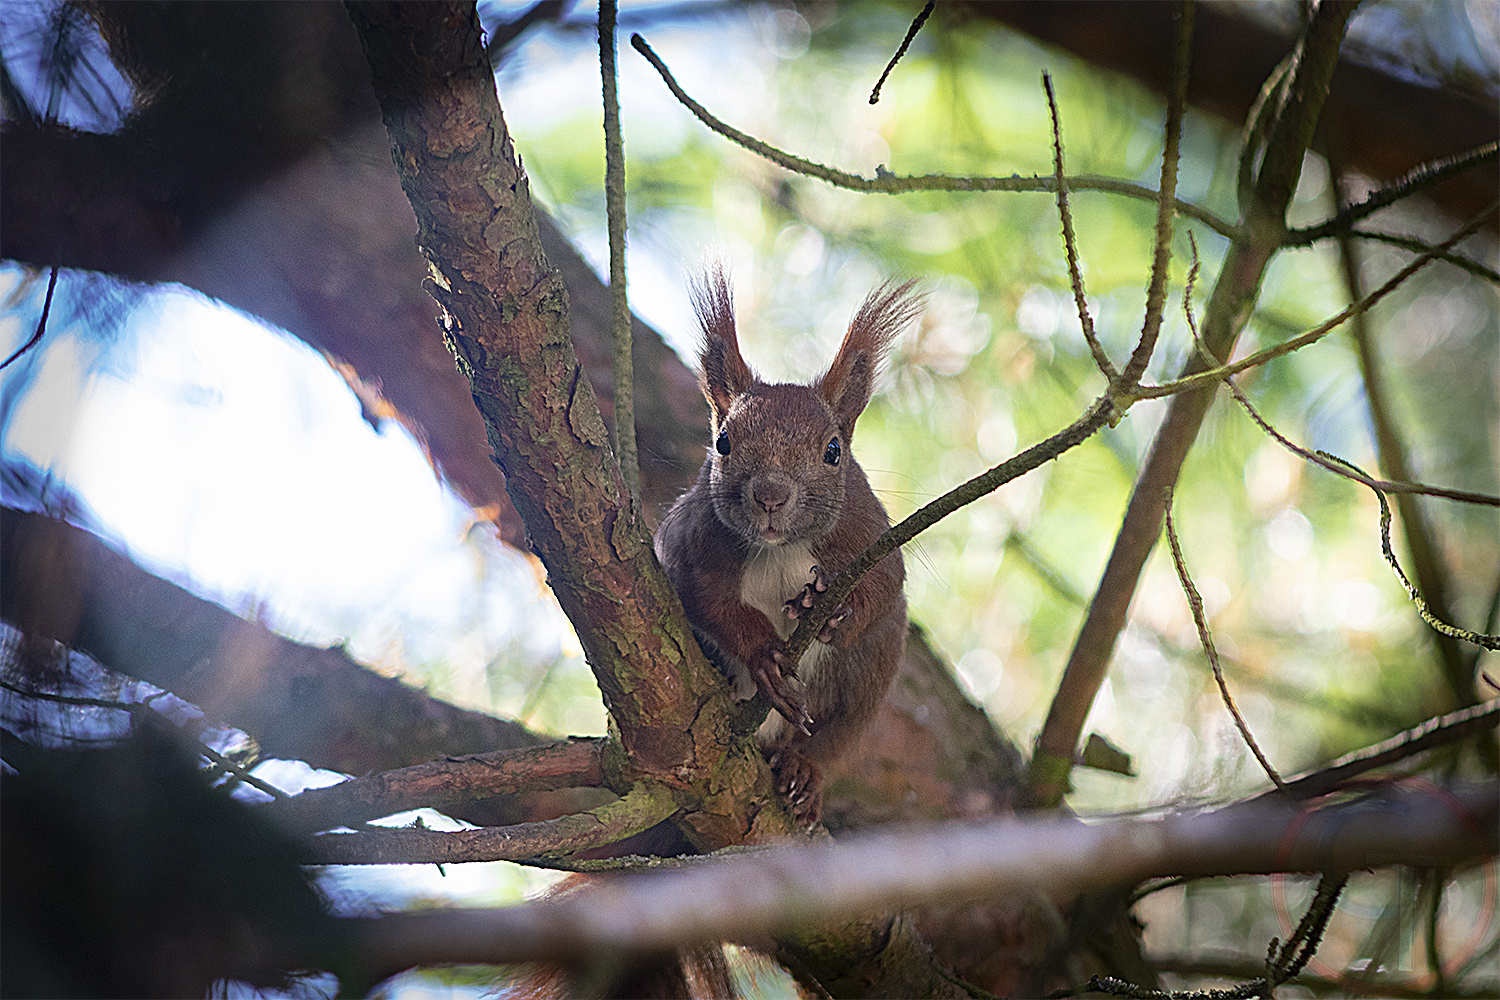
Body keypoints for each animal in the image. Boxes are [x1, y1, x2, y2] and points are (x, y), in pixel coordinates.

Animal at [654, 265, 912, 821]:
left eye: (833, 451)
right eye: (723, 442)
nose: (771, 496)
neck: (779, 548)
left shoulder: (868, 532)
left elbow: (885, 583)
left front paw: (833, 611)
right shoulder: (691, 543)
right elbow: (704, 598)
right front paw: (764, 654)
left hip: (870, 673)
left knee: (838, 731)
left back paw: (804, 769)